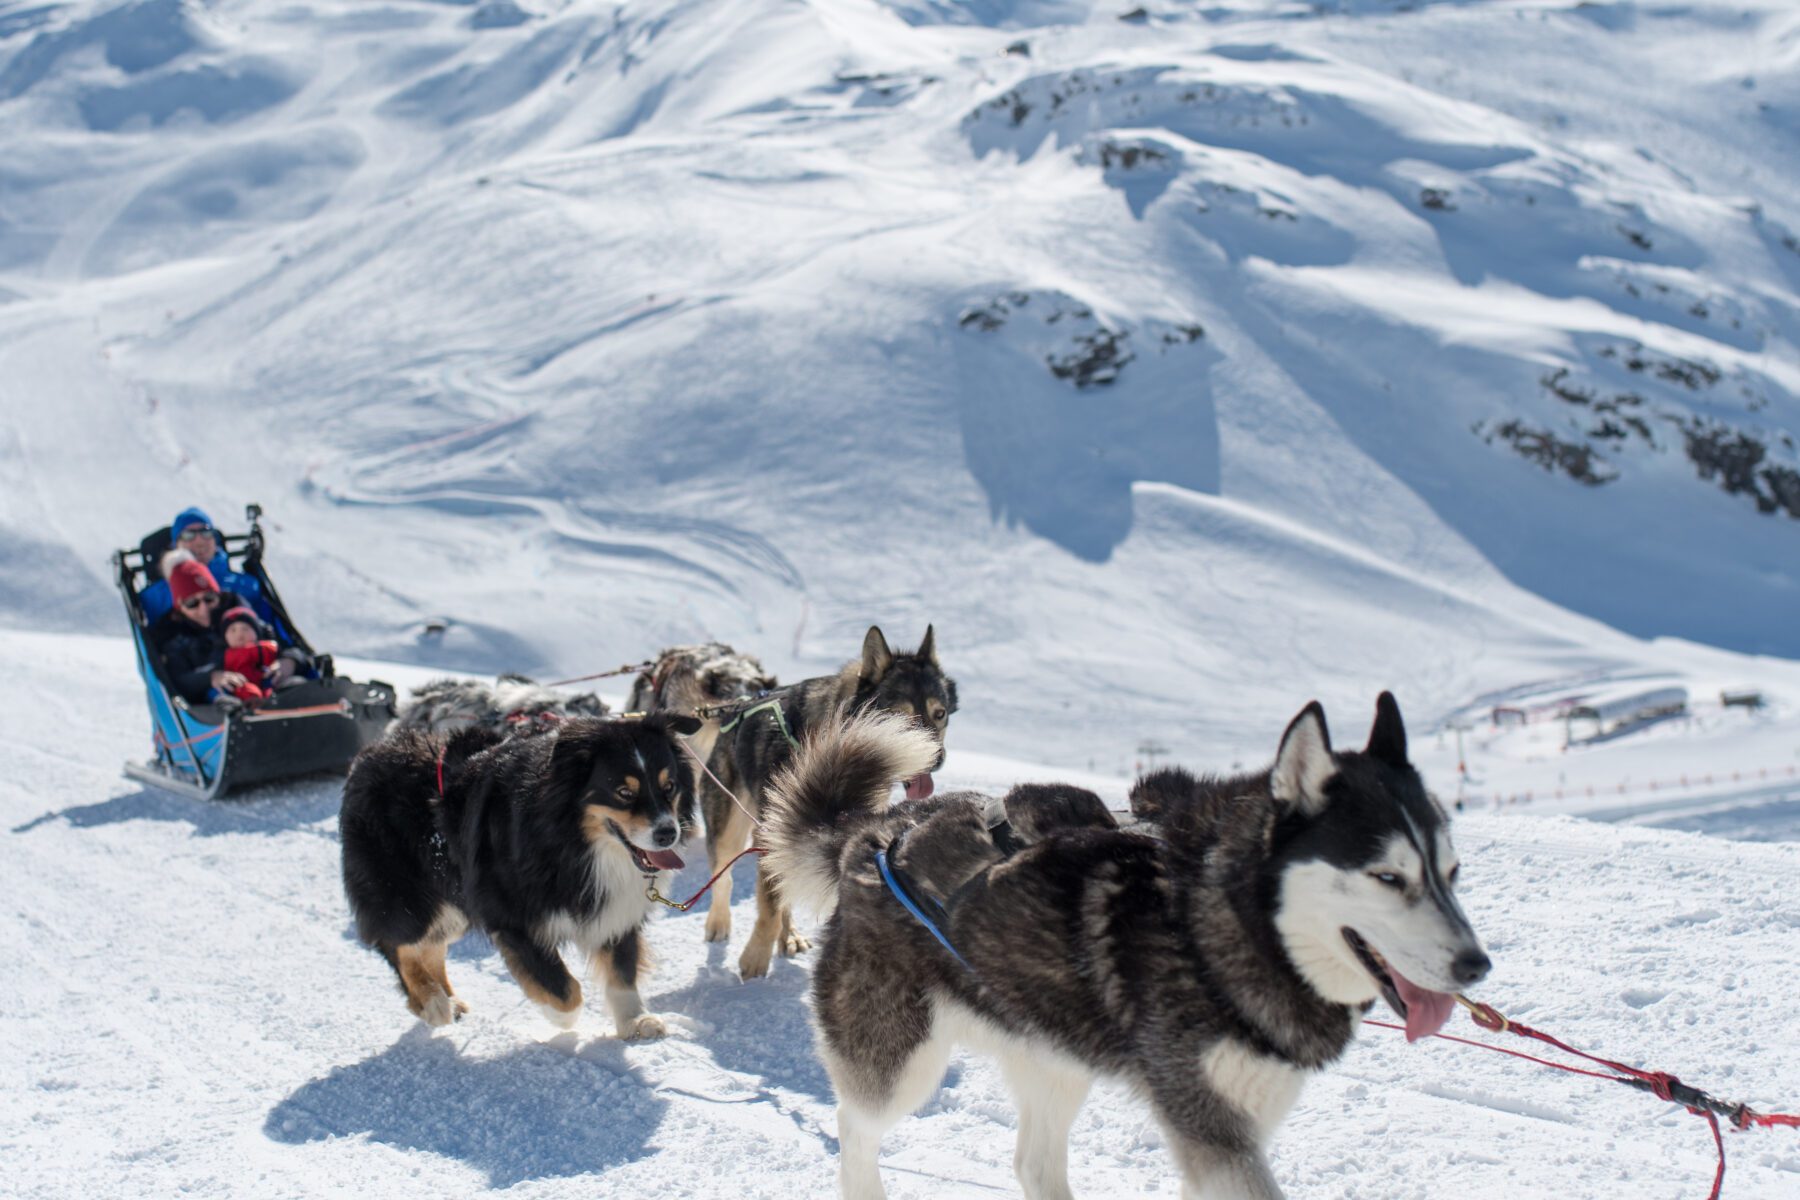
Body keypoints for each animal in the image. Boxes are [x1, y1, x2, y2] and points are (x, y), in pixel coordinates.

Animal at [340, 712, 705, 1043]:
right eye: (623, 793)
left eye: (669, 787)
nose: (668, 833)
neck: (574, 842)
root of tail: (371, 753)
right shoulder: (511, 916)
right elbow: (564, 990)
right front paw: (559, 1018)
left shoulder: (616, 910)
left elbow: (622, 970)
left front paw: (635, 1020)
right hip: (408, 893)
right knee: (398, 940)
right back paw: (430, 1003)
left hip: (455, 901)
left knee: (429, 945)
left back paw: (446, 1000)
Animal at [766, 694, 1483, 1200]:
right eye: (1388, 877)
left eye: (1451, 872)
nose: (1477, 965)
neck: (1219, 918)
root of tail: (873, 834)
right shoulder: (1212, 1129)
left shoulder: (1229, 1134)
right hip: (901, 1065)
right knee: (855, 1131)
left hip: (1055, 1054)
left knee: (1033, 1165)